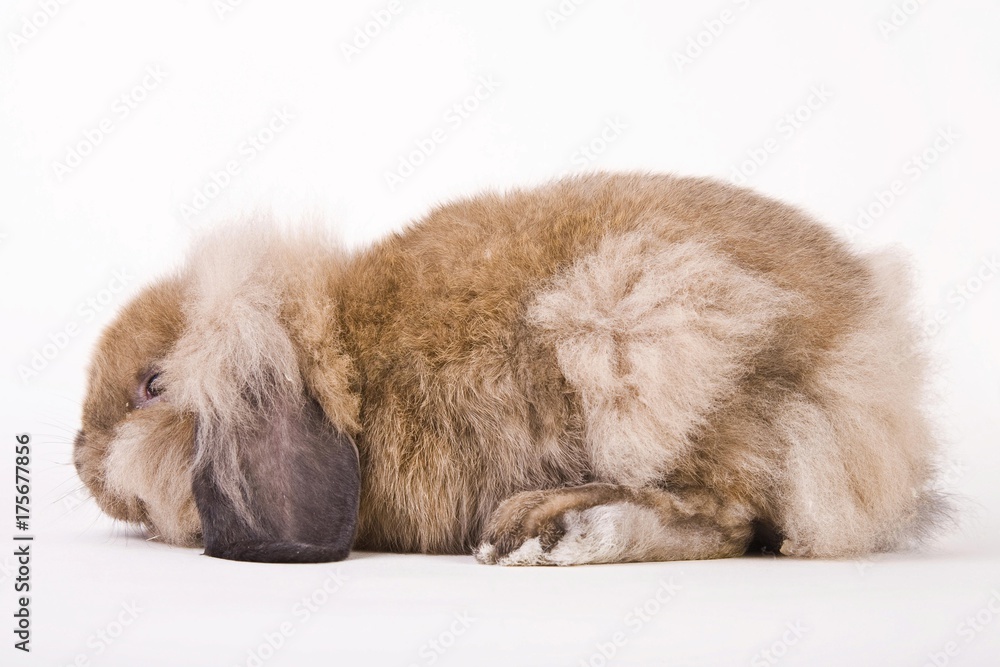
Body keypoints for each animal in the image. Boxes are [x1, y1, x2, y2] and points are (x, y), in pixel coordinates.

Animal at [73, 172, 949, 564]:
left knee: (724, 515)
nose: (79, 457)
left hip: (643, 338)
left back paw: (549, 528)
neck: (348, 362)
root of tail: (869, 351)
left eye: (152, 385)